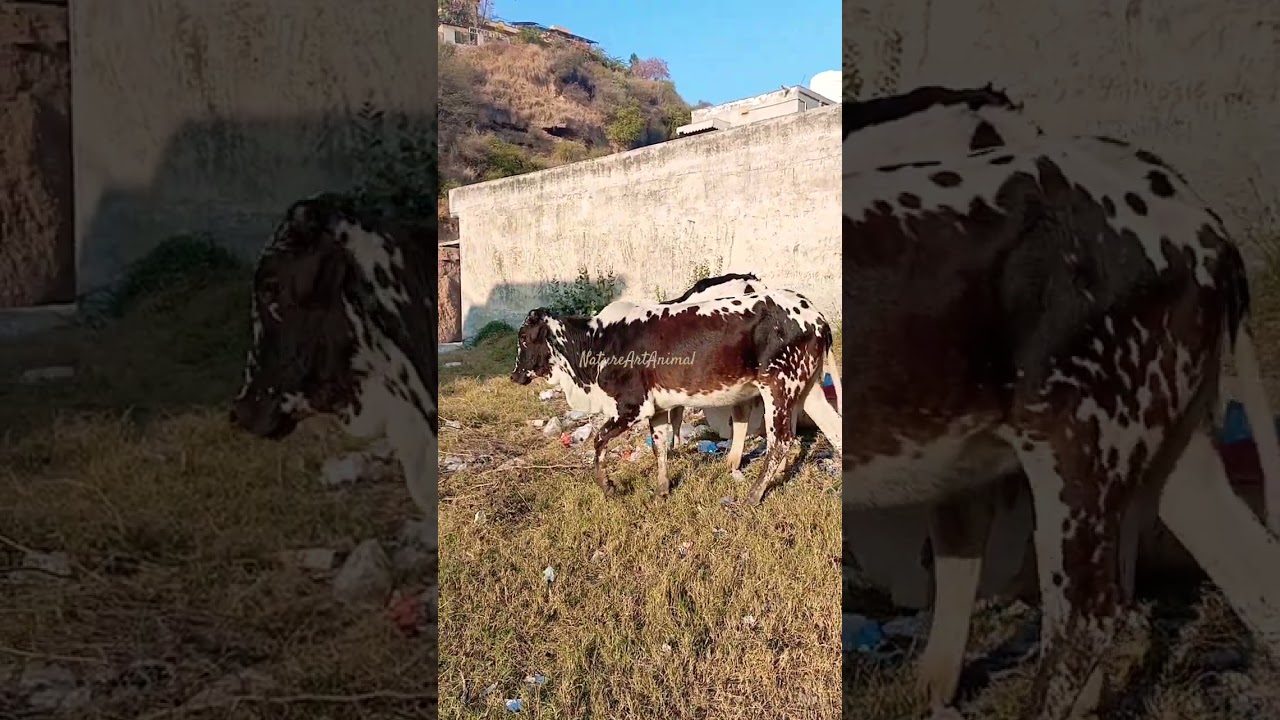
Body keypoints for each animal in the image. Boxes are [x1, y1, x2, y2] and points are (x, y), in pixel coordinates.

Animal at [510, 288, 838, 504]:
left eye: (524, 338)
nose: (514, 375)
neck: (598, 342)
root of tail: (814, 314)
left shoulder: (632, 406)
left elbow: (598, 441)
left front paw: (609, 487)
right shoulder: (656, 408)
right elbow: (660, 447)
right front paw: (661, 490)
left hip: (777, 386)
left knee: (781, 441)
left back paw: (754, 495)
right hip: (806, 389)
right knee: (833, 429)